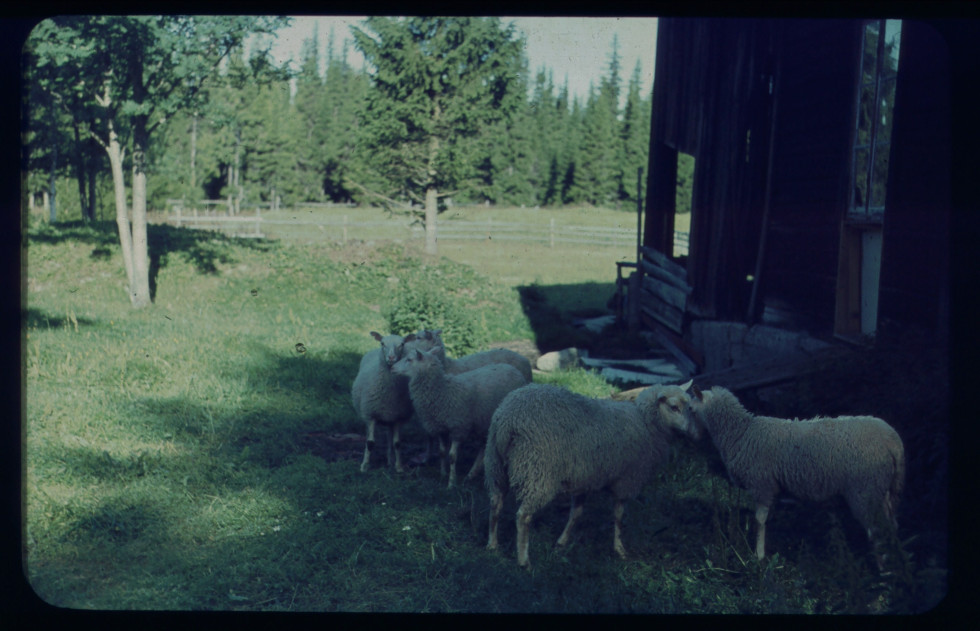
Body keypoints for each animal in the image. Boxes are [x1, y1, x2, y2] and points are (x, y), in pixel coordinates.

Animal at [350, 334, 416, 472]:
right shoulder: (370, 416)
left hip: (390, 419)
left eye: (402, 344)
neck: (389, 395)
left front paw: (399, 467)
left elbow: (397, 443)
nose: (391, 358)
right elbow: (370, 443)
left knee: (390, 439)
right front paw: (364, 466)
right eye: (382, 343)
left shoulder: (398, 418)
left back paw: (390, 461)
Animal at [388, 346, 528, 488]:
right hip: (483, 421)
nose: (392, 368)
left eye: (409, 359)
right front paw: (443, 474)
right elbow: (442, 451)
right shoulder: (441, 428)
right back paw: (471, 474)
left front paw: (451, 483)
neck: (442, 390)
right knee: (483, 447)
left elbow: (452, 456)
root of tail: (514, 370)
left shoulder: (458, 427)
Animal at [486, 382, 700, 572]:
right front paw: (619, 549)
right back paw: (524, 561)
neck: (646, 422)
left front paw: (561, 543)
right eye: (674, 407)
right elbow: (618, 516)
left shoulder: (584, 479)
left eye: (690, 407)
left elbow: (576, 514)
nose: (693, 433)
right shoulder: (627, 480)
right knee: (523, 516)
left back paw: (493, 546)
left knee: (496, 504)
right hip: (537, 472)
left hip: (496, 466)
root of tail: (508, 421)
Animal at [688, 386, 904, 568]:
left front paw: (758, 555)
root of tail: (893, 442)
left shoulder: (762, 484)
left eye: (691, 409)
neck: (741, 432)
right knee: (892, 526)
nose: (690, 436)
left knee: (877, 530)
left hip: (865, 491)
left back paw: (884, 571)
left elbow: (759, 520)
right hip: (883, 489)